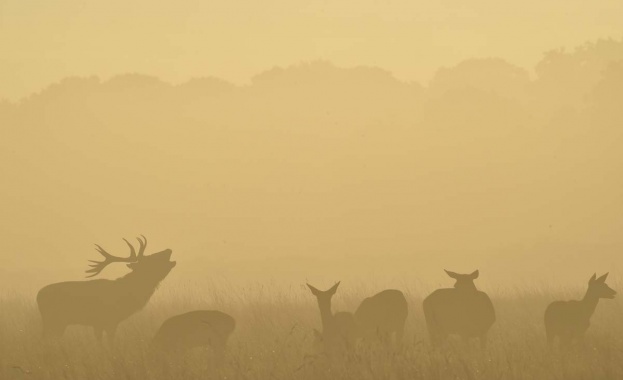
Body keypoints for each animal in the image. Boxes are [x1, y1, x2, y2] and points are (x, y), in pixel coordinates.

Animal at [36, 235, 176, 342]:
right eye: (150, 259)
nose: (169, 249)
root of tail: (38, 296)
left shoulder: (100, 323)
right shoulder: (109, 320)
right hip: (52, 320)